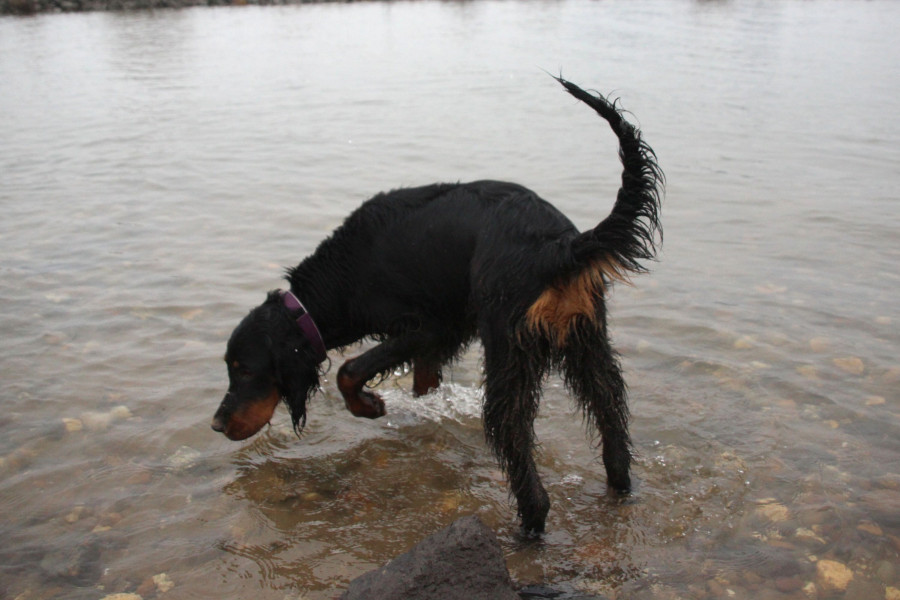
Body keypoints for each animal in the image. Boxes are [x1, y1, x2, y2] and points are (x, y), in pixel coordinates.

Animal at [211, 77, 663, 534]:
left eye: (245, 369)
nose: (217, 424)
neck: (346, 270)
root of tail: (559, 247)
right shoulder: (445, 334)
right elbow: (423, 382)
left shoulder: (427, 327)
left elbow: (348, 370)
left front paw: (369, 407)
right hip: (588, 344)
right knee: (611, 417)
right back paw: (619, 488)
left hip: (510, 352)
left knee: (514, 439)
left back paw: (530, 524)